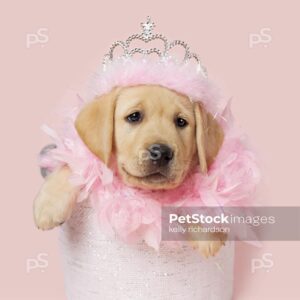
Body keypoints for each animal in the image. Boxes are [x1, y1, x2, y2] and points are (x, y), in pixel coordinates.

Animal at [33, 85, 225, 258]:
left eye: (181, 122)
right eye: (134, 116)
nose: (161, 152)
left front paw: (208, 230)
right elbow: (71, 165)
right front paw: (50, 205)